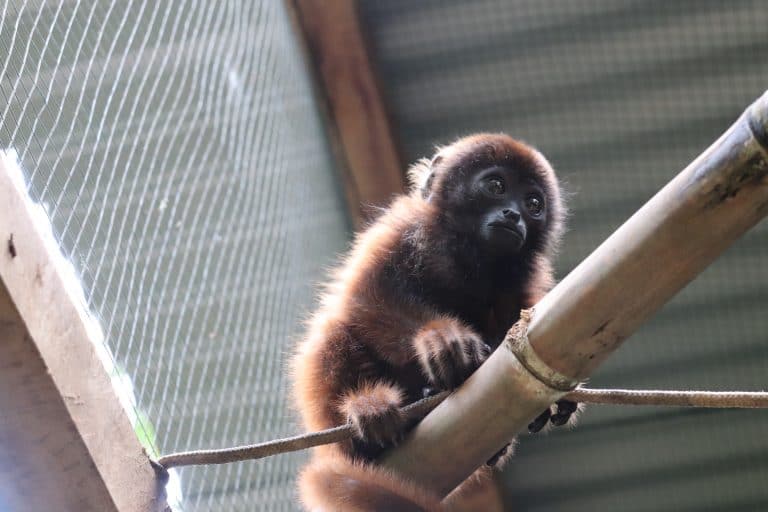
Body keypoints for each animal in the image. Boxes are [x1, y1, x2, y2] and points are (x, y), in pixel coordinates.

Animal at [291, 133, 576, 511]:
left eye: (533, 203)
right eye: (496, 186)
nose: (514, 214)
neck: (468, 255)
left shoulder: (524, 278)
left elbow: (517, 323)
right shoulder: (403, 228)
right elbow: (367, 297)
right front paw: (440, 341)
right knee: (334, 331)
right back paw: (366, 412)